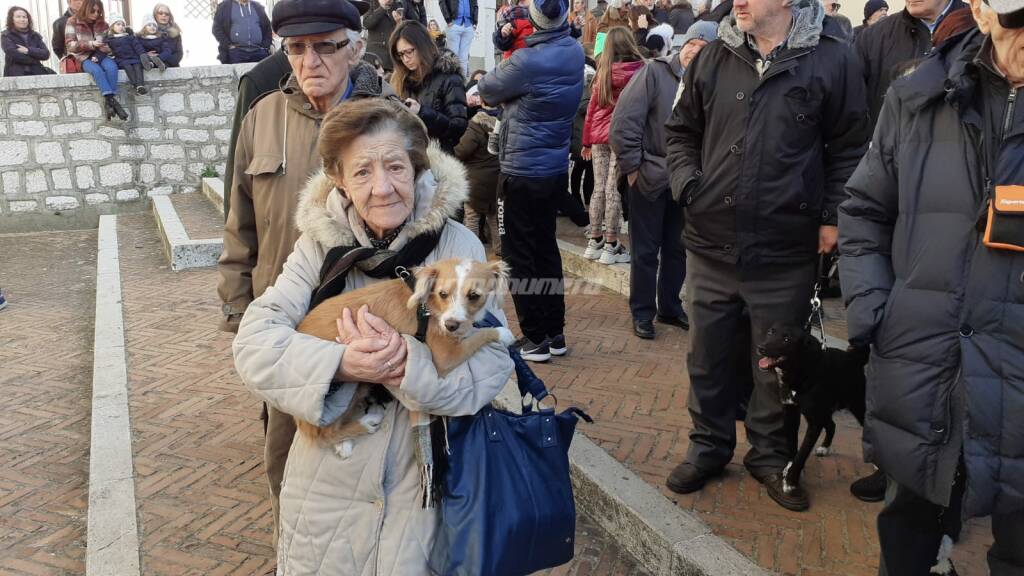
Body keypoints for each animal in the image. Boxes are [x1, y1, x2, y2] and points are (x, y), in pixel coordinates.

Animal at [290, 255, 512, 444]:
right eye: (443, 294)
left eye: (474, 296)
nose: (450, 325)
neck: (428, 305)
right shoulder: (446, 356)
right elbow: (479, 335)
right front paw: (503, 334)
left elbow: (471, 331)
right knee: (322, 434)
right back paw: (365, 424)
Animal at [757, 323, 868, 498]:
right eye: (770, 332)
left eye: (787, 339)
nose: (760, 348)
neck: (801, 372)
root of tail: (855, 359)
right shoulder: (790, 412)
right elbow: (792, 445)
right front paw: (789, 466)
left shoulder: (814, 423)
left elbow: (802, 454)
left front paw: (790, 482)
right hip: (824, 409)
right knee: (832, 425)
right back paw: (825, 447)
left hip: (856, 405)